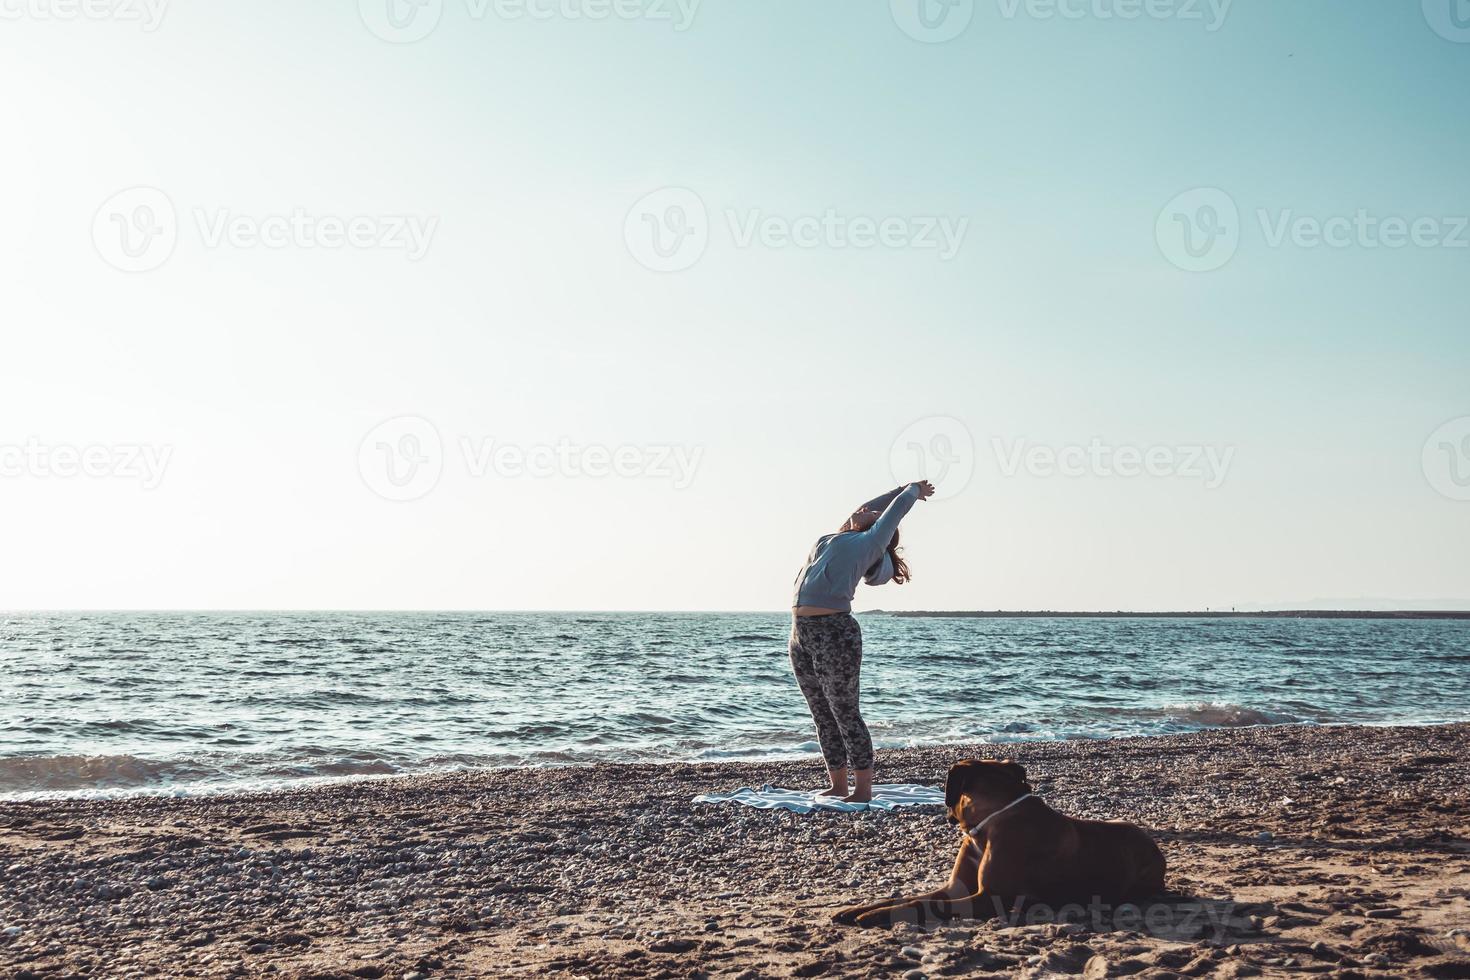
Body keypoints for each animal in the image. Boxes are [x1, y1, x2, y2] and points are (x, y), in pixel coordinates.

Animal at [834, 758, 1164, 928]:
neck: (988, 825)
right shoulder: (955, 888)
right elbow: (906, 898)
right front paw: (859, 909)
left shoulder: (988, 897)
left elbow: (918, 904)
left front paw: (872, 916)